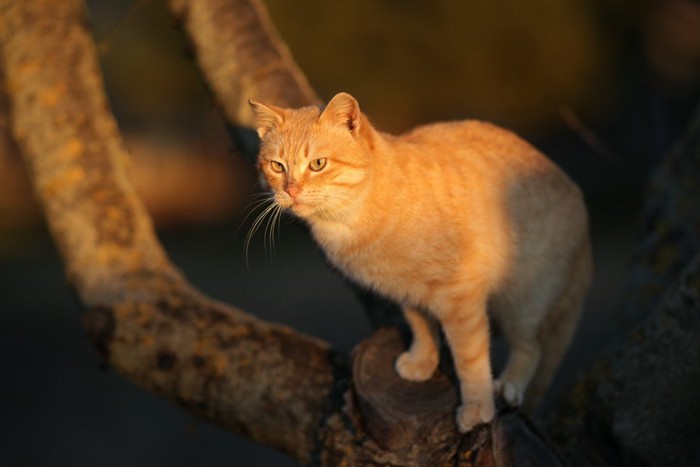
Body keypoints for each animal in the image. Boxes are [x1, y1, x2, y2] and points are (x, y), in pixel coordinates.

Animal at [250, 93, 592, 434]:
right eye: (277, 166)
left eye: (318, 164)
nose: (291, 190)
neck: (351, 223)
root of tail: (579, 200)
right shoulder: (408, 291)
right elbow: (420, 325)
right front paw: (422, 361)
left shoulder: (461, 297)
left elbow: (470, 359)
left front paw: (477, 407)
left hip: (523, 302)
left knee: (532, 347)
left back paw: (508, 385)